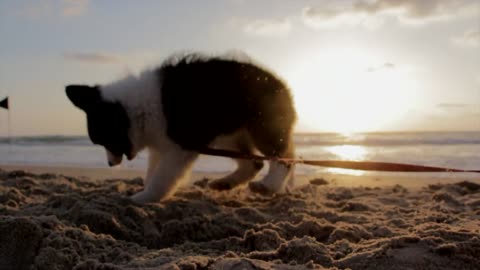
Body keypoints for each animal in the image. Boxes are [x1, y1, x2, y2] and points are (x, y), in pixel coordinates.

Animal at [63, 53, 296, 204]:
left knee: (284, 158)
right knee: (255, 162)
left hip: (262, 127)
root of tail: (282, 83)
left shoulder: (180, 146)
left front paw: (143, 198)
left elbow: (161, 177)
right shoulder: (161, 145)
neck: (134, 109)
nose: (110, 164)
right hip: (229, 135)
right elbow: (152, 172)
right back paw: (226, 183)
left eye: (104, 139)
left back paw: (268, 186)